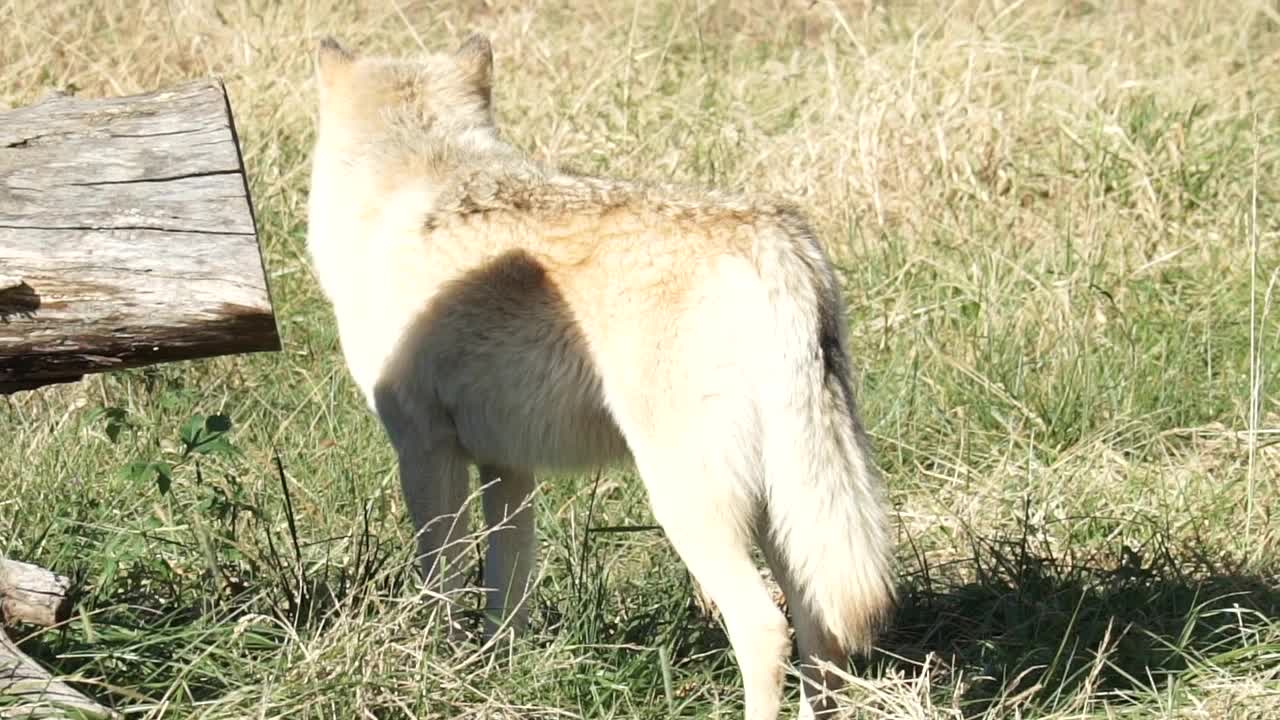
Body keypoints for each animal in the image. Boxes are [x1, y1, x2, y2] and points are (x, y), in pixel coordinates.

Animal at [304, 32, 896, 717]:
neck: (406, 180)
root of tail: (776, 239)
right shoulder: (508, 467)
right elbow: (506, 599)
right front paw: (495, 684)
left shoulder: (426, 453)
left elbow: (440, 589)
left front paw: (430, 675)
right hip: (783, 514)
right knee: (822, 635)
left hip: (687, 504)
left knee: (765, 627)